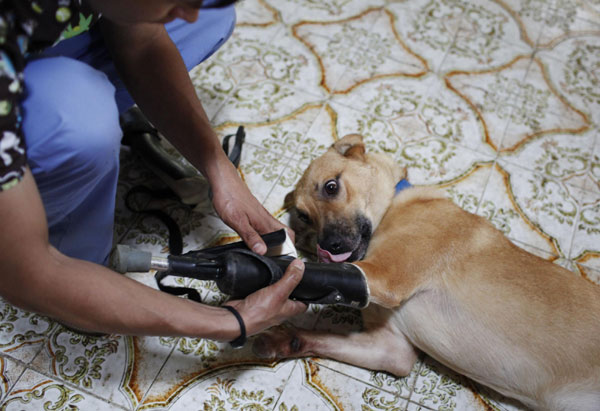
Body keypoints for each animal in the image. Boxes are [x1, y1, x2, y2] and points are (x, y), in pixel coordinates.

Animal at [253, 135, 600, 411]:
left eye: (331, 186)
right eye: (303, 216)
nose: (328, 245)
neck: (394, 205)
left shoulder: (384, 277)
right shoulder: (391, 350)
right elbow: (323, 338)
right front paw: (284, 339)